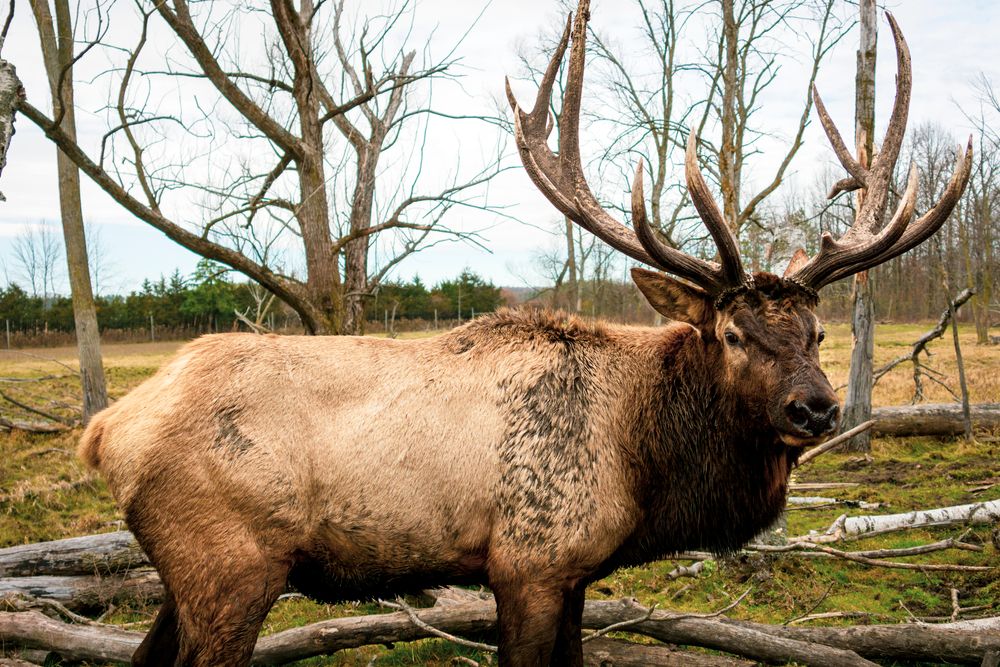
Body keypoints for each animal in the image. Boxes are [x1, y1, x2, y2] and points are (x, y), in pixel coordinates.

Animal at [76, 2, 971, 665]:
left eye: (817, 331)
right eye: (732, 332)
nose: (815, 409)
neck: (642, 464)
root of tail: (105, 429)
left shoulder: (574, 574)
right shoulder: (528, 562)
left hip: (189, 575)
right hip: (229, 564)